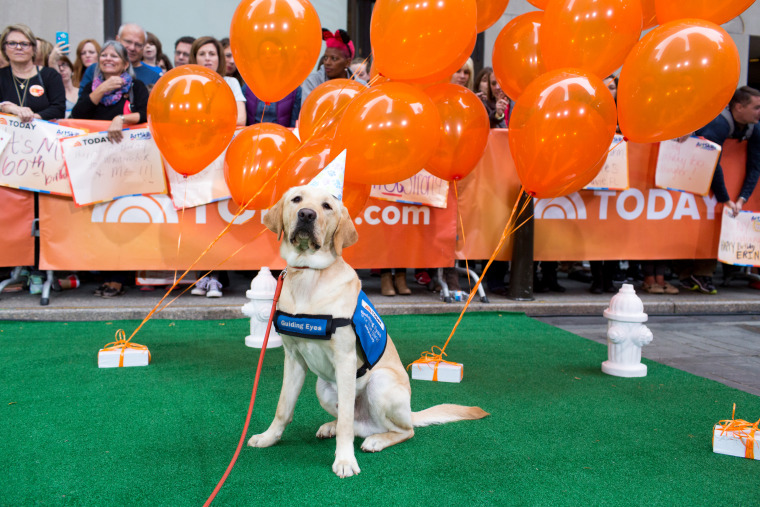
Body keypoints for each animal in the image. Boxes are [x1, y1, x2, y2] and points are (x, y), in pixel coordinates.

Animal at [249, 185, 486, 478]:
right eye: (296, 199)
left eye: (327, 206)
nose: (306, 215)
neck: (308, 275)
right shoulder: (293, 359)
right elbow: (283, 407)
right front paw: (269, 437)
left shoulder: (345, 359)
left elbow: (345, 423)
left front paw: (344, 460)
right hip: (323, 387)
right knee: (353, 423)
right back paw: (332, 426)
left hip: (380, 384)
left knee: (401, 430)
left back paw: (376, 440)